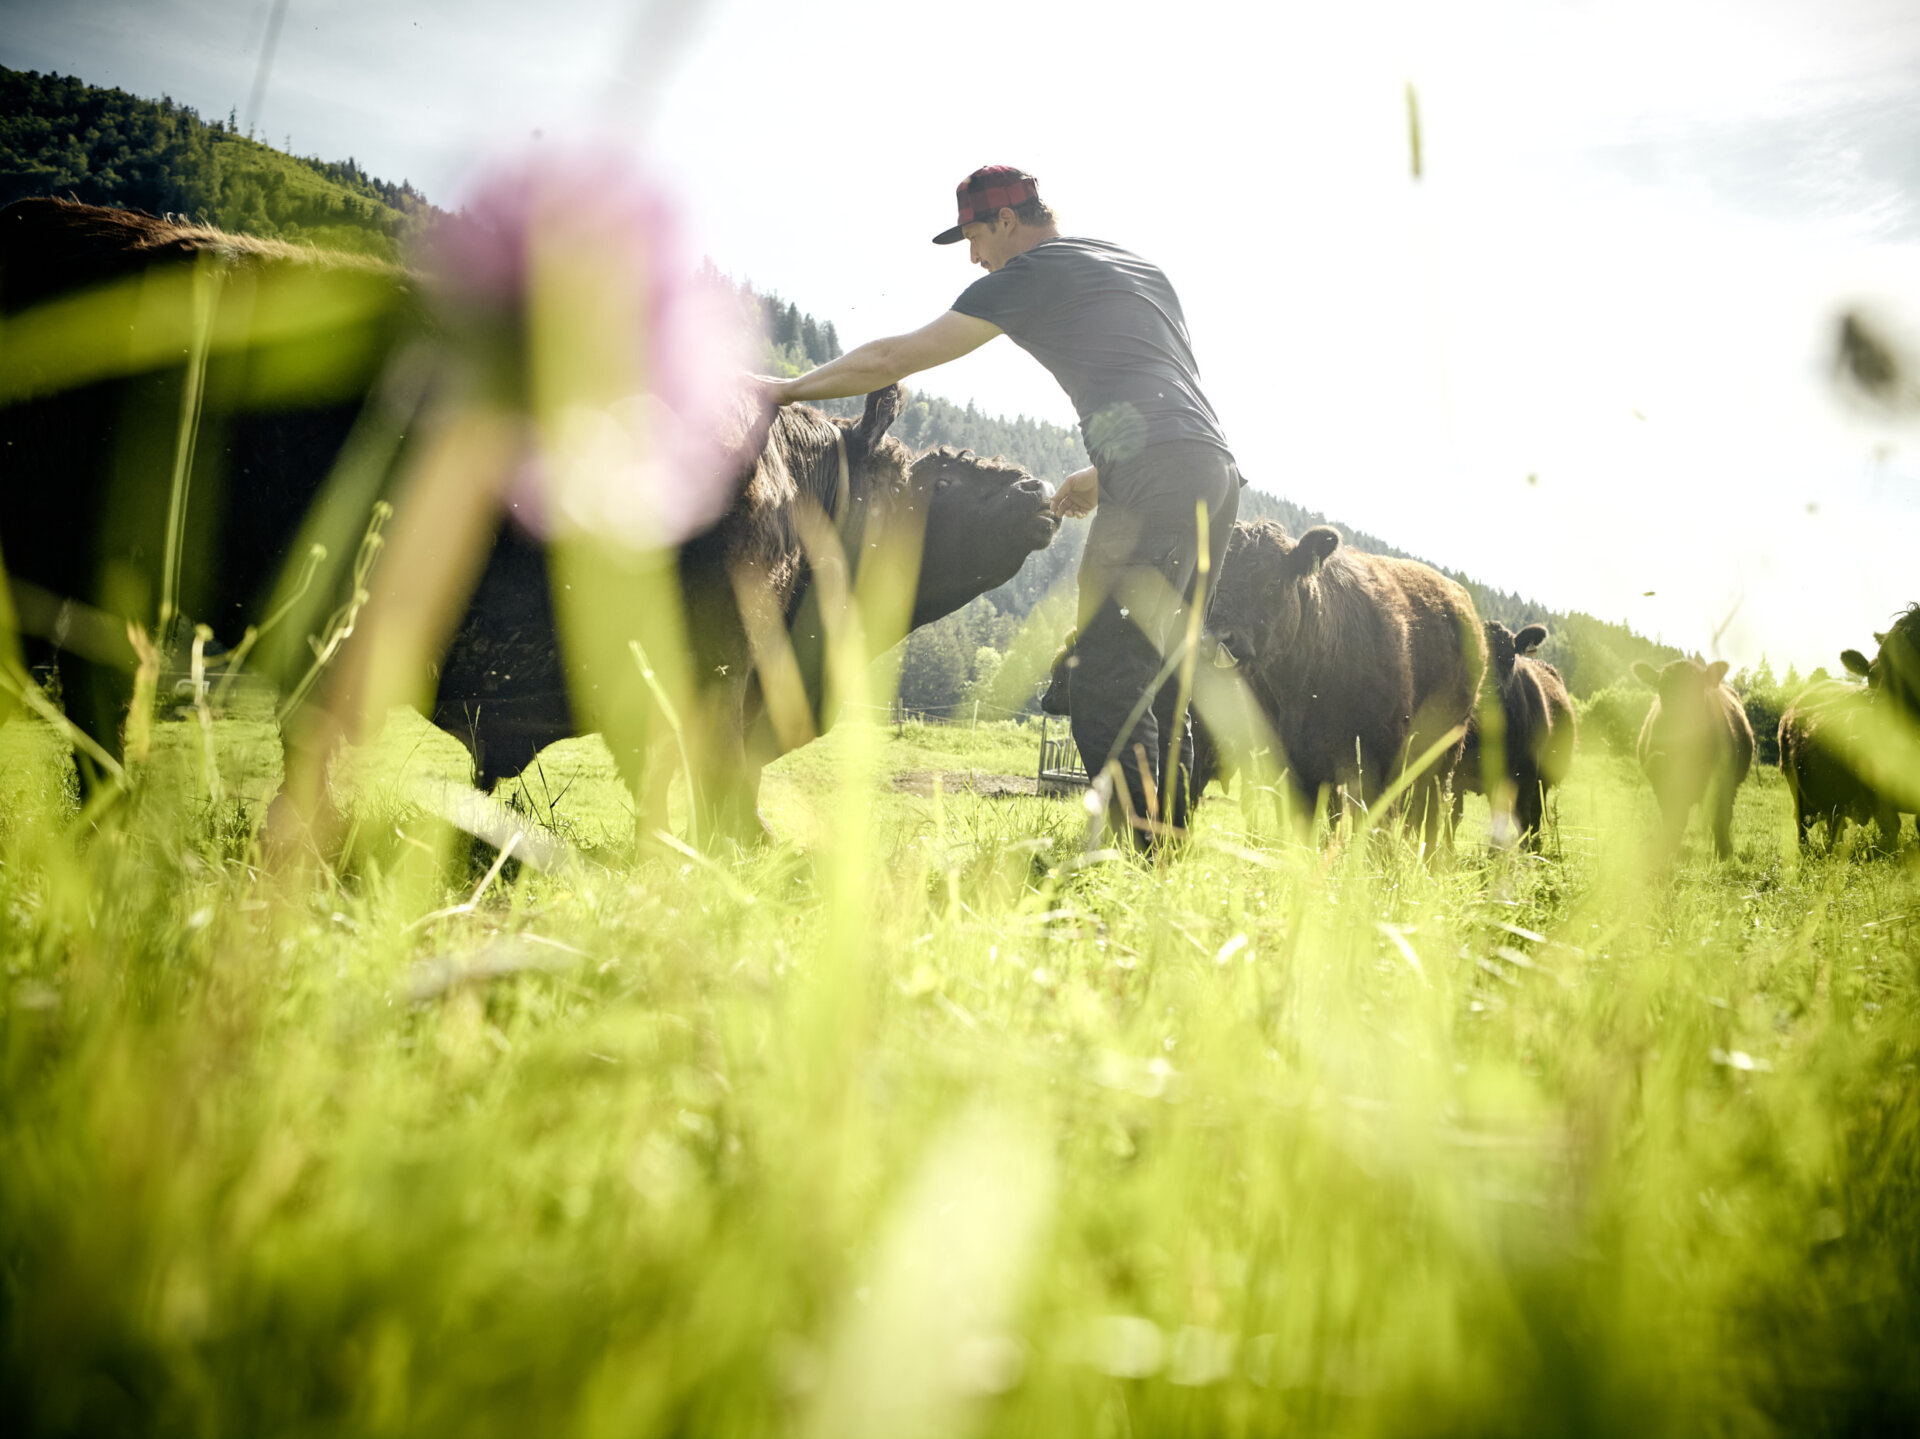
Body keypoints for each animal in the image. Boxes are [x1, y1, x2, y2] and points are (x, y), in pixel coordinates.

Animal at [1198, 522, 1482, 841]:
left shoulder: (1381, 761)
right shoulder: (1291, 767)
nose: (1216, 638)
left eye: (1273, 582)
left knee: (1431, 814)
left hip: (1444, 757)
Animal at [1451, 618, 1574, 841]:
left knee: (1531, 821)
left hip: (1539, 782)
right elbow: (1453, 817)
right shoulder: (1455, 773)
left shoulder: (1519, 777)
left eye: (1510, 658)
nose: (1488, 692)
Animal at [1635, 660, 1758, 860]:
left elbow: (1720, 819)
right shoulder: (1663, 782)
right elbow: (1673, 818)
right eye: (1662, 689)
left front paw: (1724, 854)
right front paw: (1669, 850)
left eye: (1698, 690)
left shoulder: (1722, 783)